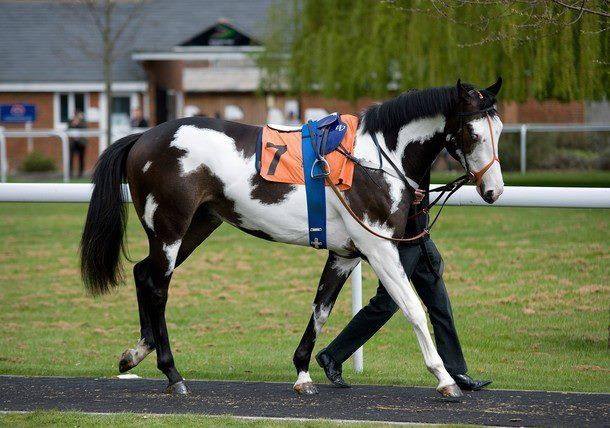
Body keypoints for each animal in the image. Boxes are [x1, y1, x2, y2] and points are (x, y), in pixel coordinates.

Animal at [79, 79, 504, 398]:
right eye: (472, 131)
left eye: (498, 130)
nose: (494, 191)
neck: (375, 161)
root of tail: (144, 137)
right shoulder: (380, 248)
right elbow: (413, 307)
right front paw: (445, 378)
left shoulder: (345, 254)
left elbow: (321, 310)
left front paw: (303, 373)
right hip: (170, 228)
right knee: (157, 287)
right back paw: (173, 374)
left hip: (197, 226)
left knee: (142, 273)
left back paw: (135, 353)